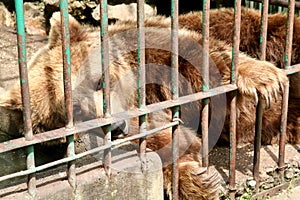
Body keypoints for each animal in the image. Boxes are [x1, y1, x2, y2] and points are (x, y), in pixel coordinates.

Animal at [0, 12, 288, 198]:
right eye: (76, 111)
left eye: (99, 81)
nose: (116, 126)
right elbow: (164, 141)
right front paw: (199, 181)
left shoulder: (156, 50)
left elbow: (203, 58)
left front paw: (266, 78)